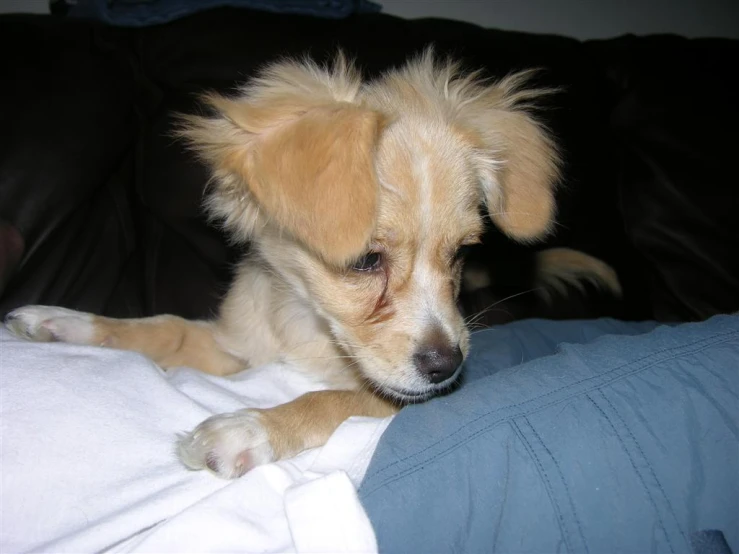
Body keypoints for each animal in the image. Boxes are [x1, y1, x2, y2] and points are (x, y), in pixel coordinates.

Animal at [5, 49, 620, 476]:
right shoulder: (238, 347)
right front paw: (64, 323)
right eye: (365, 261)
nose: (447, 367)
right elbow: (163, 328)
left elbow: (329, 398)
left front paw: (250, 428)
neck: (307, 326)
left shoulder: (393, 399)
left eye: (462, 253)